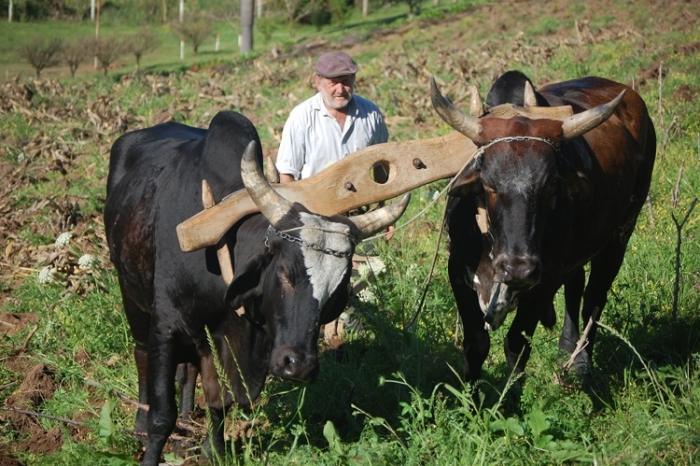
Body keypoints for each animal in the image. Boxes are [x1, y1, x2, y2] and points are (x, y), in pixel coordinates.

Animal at [104, 111, 409, 465]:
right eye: (286, 272)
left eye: (336, 291)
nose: (298, 365)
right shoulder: (165, 328)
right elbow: (161, 415)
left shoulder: (223, 341)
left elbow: (219, 402)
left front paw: (213, 450)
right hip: (131, 294)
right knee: (140, 355)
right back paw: (140, 425)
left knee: (190, 368)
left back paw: (187, 416)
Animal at [433, 71, 656, 389]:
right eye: (488, 184)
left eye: (550, 184)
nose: (517, 268)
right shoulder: (457, 273)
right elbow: (476, 345)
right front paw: (471, 399)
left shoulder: (544, 281)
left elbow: (516, 345)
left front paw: (510, 398)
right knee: (576, 285)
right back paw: (566, 347)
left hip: (620, 235)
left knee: (593, 300)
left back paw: (580, 362)